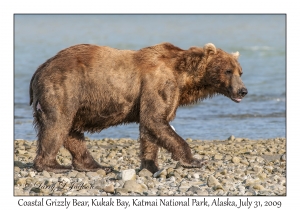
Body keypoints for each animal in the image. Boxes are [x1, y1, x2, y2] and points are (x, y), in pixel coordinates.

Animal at [29, 41, 247, 173]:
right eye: (228, 71)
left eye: (240, 71)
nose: (243, 90)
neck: (184, 77)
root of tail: (40, 68)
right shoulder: (158, 83)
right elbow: (155, 119)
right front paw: (194, 160)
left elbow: (150, 128)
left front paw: (150, 165)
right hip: (65, 87)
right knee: (58, 123)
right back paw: (53, 165)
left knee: (71, 130)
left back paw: (95, 165)